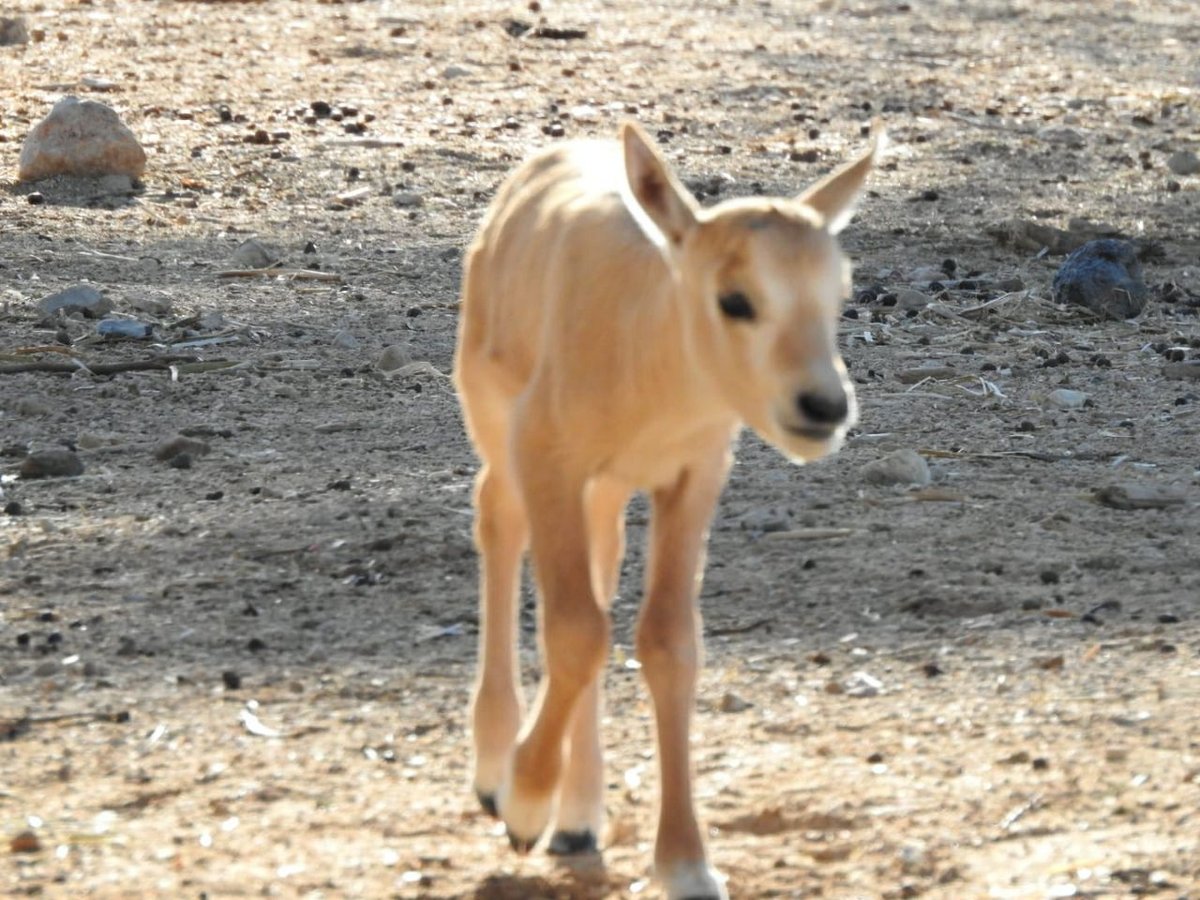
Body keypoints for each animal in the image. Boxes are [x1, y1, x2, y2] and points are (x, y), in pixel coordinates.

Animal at [453, 121, 888, 900]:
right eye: (736, 298)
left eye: (838, 292)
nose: (823, 406)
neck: (647, 359)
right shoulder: (547, 453)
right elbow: (575, 633)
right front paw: (523, 801)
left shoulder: (696, 471)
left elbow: (668, 641)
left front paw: (686, 863)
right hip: (498, 421)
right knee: (499, 519)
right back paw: (498, 769)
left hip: (607, 488)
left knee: (599, 567)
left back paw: (579, 819)